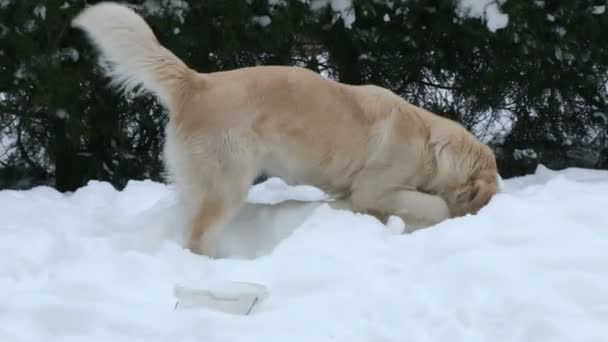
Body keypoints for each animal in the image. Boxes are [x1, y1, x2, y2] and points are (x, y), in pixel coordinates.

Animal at [71, 0, 498, 256]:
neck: (430, 145)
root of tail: (196, 82)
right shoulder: (374, 187)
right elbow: (432, 203)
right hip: (227, 184)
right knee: (198, 236)